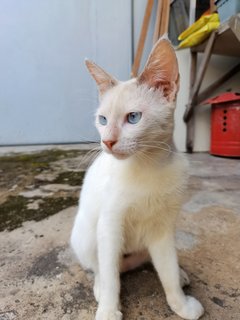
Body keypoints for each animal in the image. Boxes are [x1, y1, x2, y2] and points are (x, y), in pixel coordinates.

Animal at [70, 38, 203, 320]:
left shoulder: (162, 229)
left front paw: (181, 305)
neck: (148, 165)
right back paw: (99, 287)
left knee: (153, 260)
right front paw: (108, 310)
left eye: (133, 118)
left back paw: (181, 274)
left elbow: (167, 271)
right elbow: (111, 278)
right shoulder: (109, 225)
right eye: (102, 120)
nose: (107, 142)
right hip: (87, 233)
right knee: (101, 267)